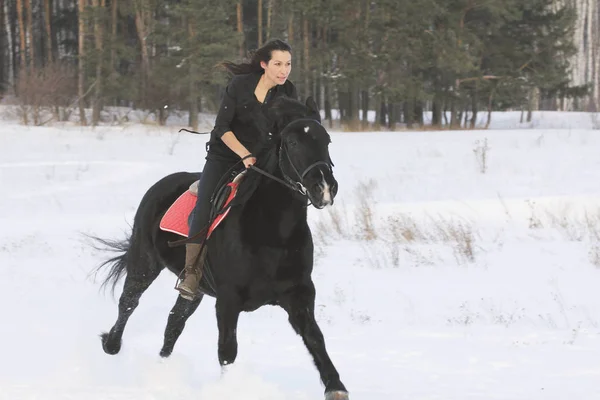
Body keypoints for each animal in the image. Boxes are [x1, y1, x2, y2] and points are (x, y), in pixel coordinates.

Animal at [92, 97, 346, 400]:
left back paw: (163, 371)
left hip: (193, 288)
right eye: (293, 143)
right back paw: (111, 345)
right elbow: (227, 351)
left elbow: (315, 338)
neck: (272, 234)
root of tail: (160, 185)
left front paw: (336, 386)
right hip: (145, 262)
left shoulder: (299, 293)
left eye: (327, 140)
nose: (325, 188)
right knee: (128, 303)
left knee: (174, 322)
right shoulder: (228, 299)